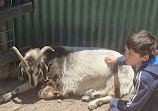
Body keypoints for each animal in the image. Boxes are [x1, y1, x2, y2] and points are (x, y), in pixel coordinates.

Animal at [0, 45, 134, 109]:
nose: (33, 84)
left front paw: (61, 94)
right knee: (104, 92)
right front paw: (4, 97)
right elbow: (17, 88)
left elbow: (41, 93)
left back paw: (93, 103)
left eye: (38, 71)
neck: (50, 59)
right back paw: (88, 95)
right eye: (27, 72)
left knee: (114, 95)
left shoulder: (58, 83)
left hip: (116, 79)